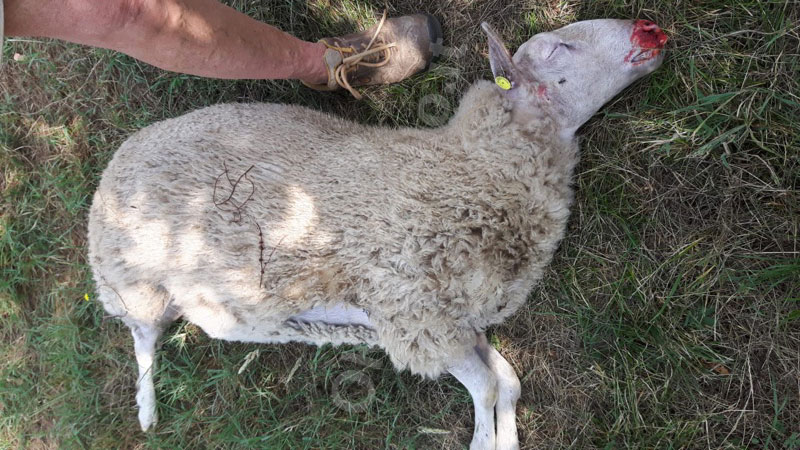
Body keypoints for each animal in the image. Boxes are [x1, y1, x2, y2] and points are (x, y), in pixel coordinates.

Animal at [87, 18, 667, 449]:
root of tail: (113, 167)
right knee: (146, 340)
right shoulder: (417, 312)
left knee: (211, 324)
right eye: (555, 47)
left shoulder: (455, 321)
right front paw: (485, 440)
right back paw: (147, 407)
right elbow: (486, 390)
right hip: (132, 283)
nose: (648, 29)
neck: (469, 166)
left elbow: (508, 383)